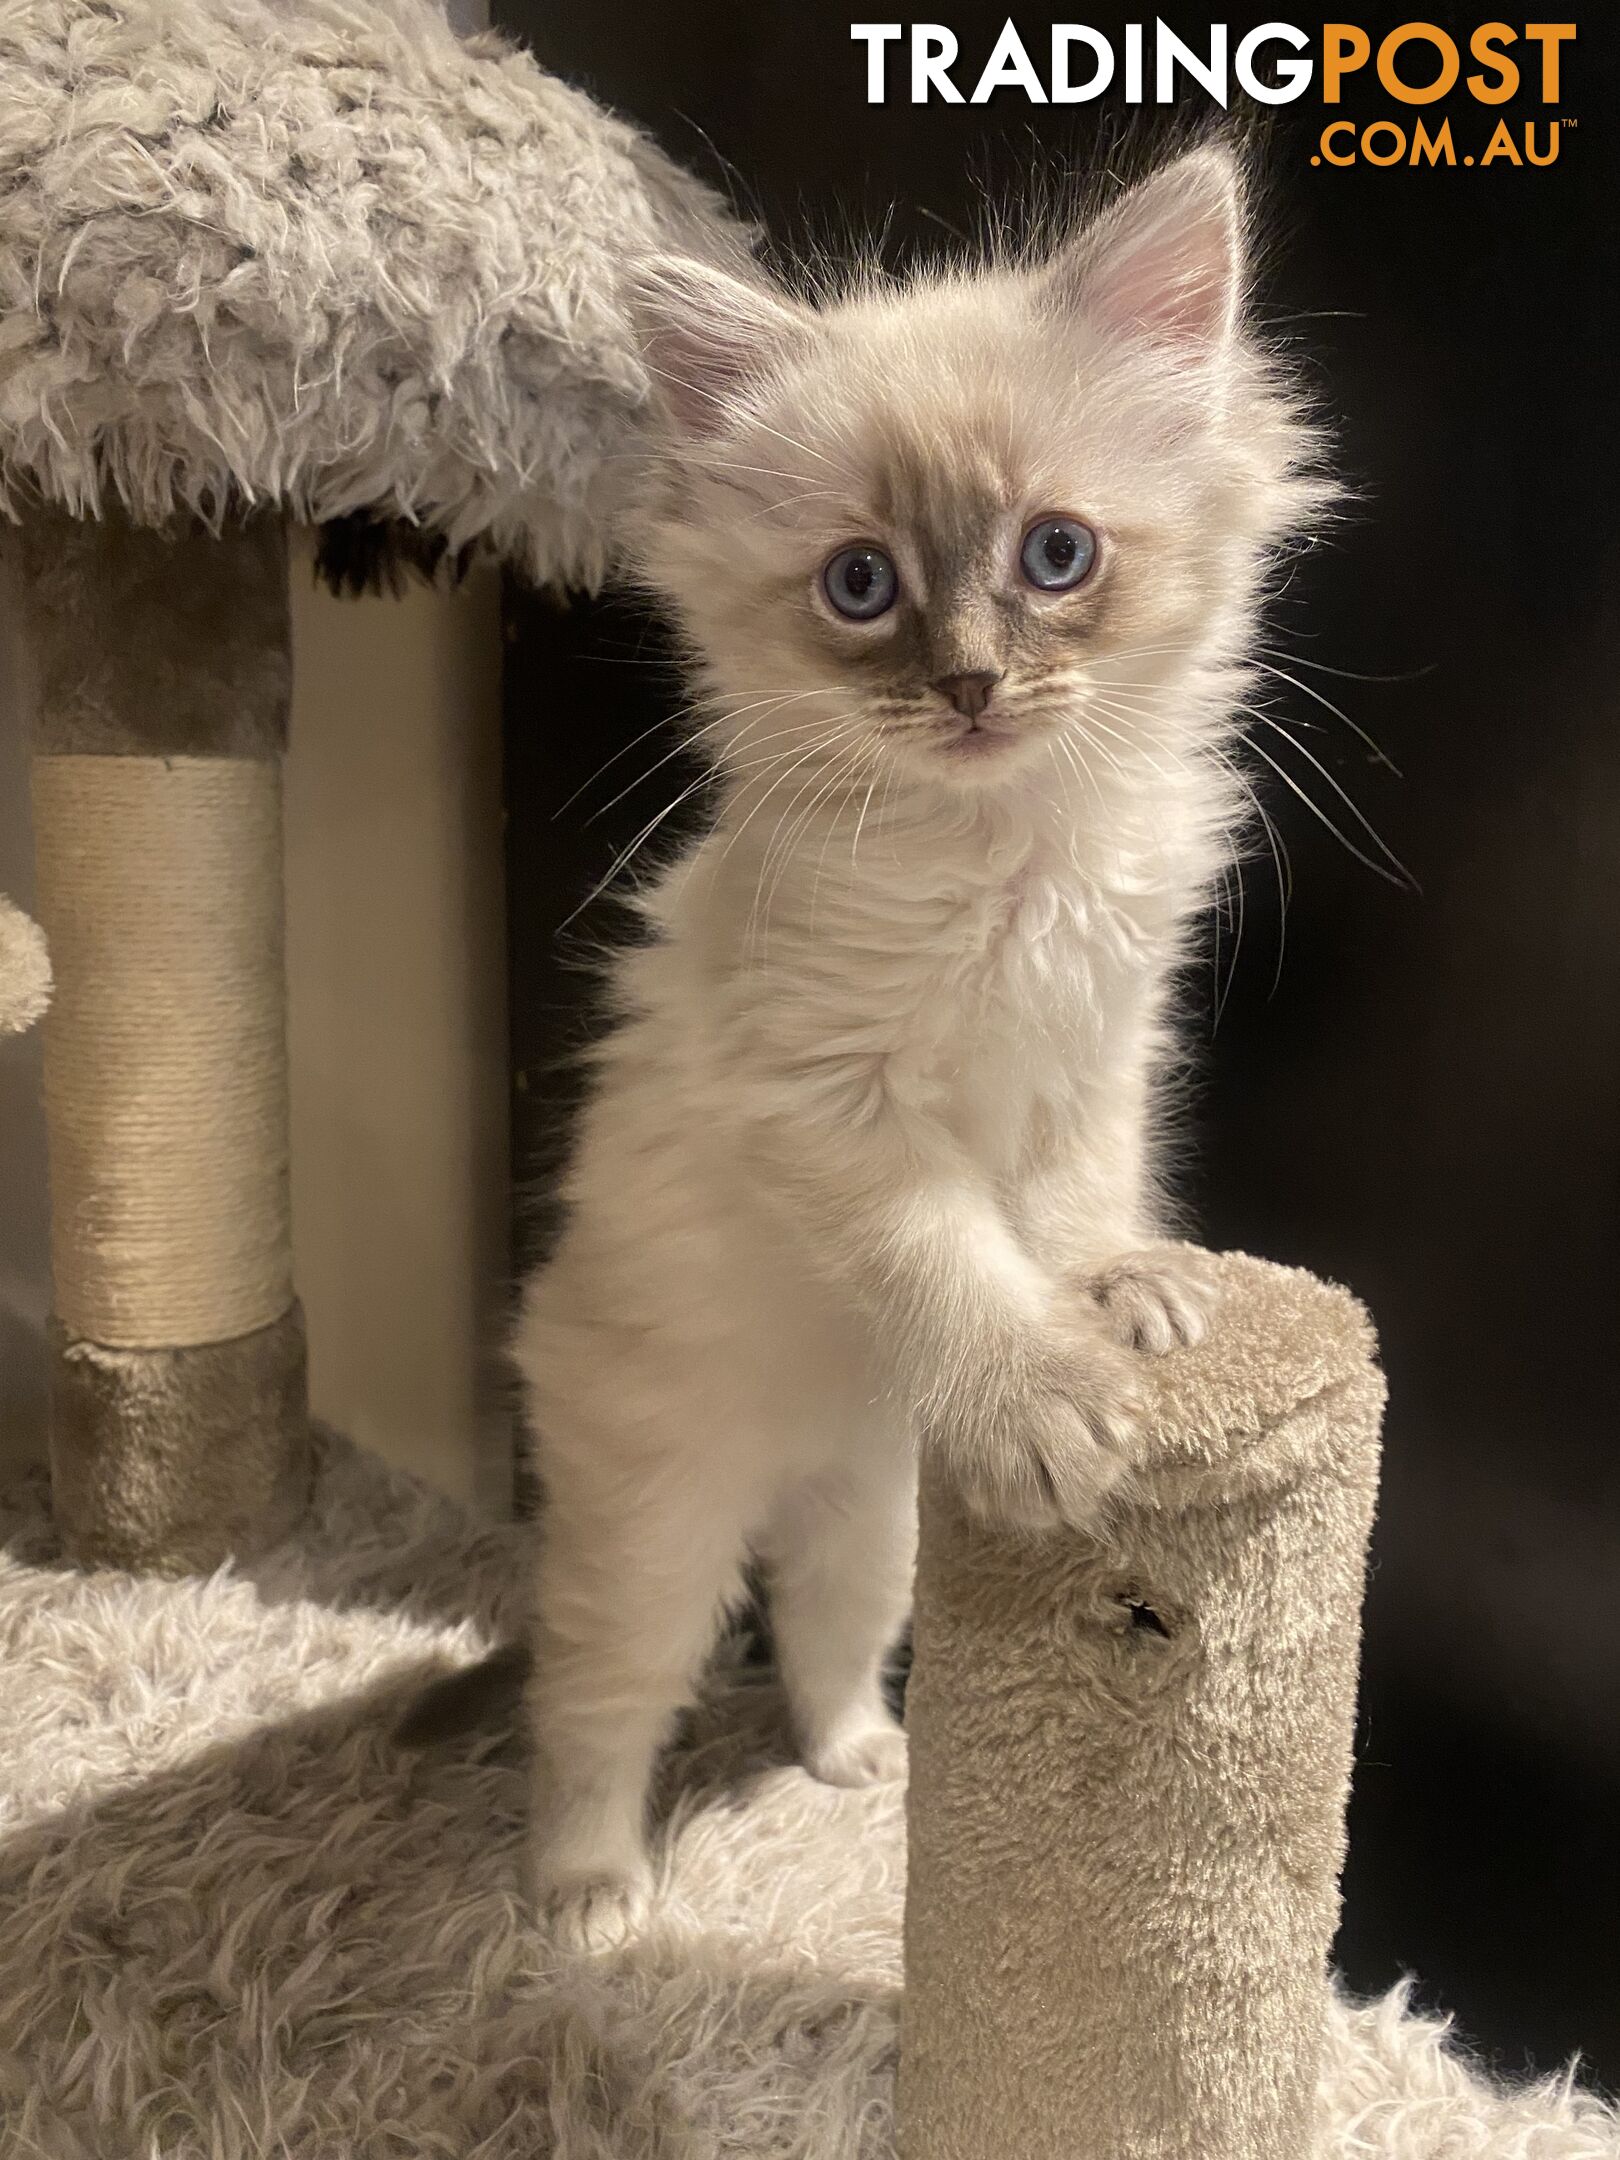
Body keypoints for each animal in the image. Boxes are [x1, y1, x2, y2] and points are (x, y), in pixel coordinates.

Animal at [514, 143, 1321, 1952]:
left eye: (1056, 554)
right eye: (861, 585)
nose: (968, 685)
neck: (1005, 858)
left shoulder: (1099, 1049)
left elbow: (1073, 1206)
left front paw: (1129, 1293)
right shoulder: (831, 1102)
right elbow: (951, 1258)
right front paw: (1044, 1395)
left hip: (878, 1515)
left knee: (824, 1635)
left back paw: (859, 1772)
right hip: (652, 1516)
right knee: (599, 1700)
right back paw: (588, 1896)